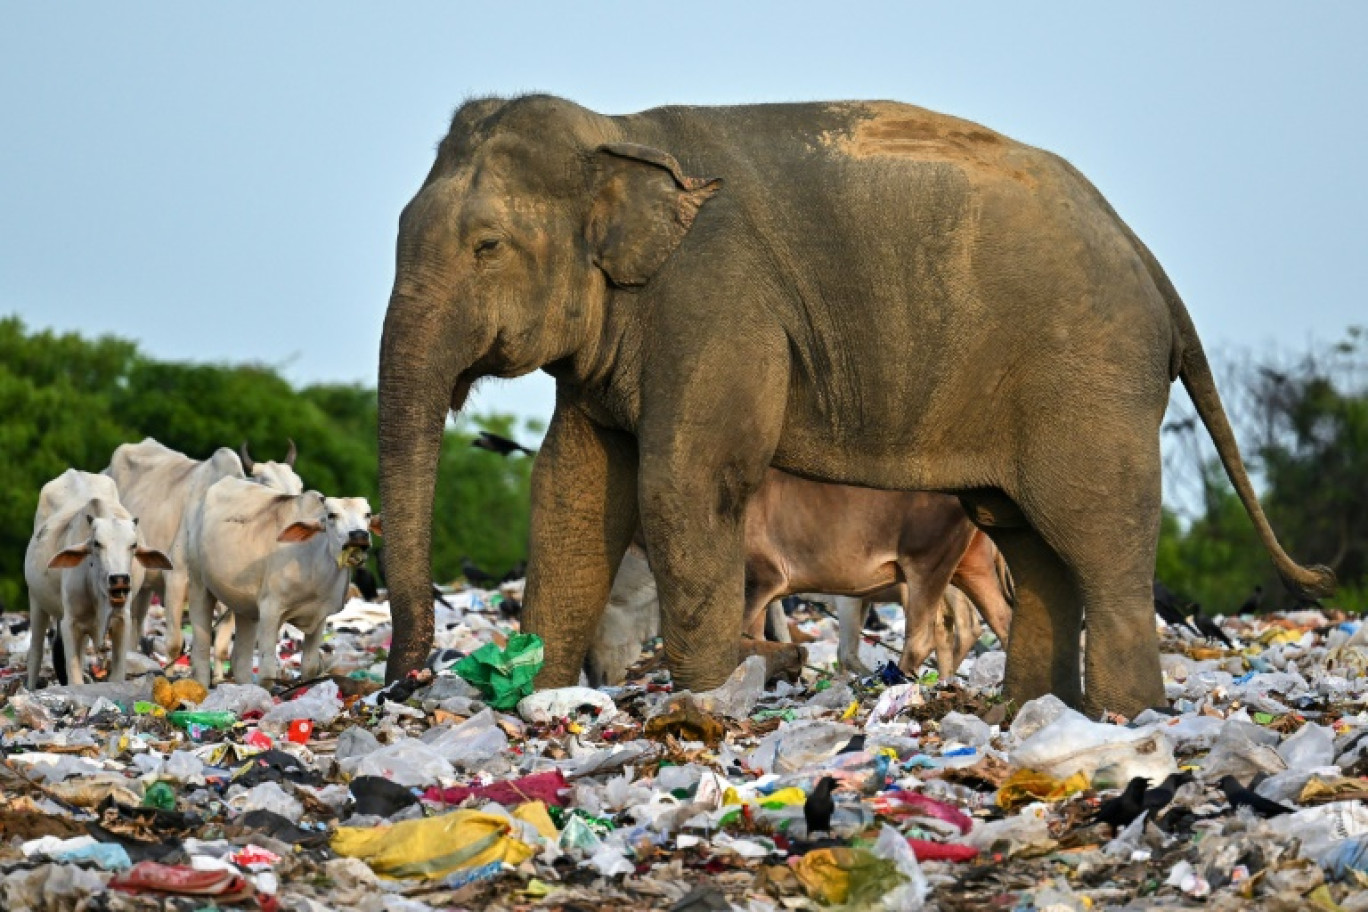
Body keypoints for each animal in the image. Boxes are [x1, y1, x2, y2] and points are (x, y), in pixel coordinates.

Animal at [24, 467, 171, 689]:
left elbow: (117, 674)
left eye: (133, 545)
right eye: (96, 543)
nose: (119, 579)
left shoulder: (122, 621)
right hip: (36, 601)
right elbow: (74, 676)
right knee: (36, 651)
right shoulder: (70, 623)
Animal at [103, 437, 302, 659]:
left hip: (146, 585)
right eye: (269, 486)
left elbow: (221, 647)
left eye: (300, 487)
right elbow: (174, 644)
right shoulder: (175, 578)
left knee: (136, 625)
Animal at [188, 478, 380, 683]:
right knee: (200, 651)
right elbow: (267, 671)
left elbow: (310, 667)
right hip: (198, 585)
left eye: (367, 514)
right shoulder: (270, 610)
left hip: (244, 607)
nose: (359, 535)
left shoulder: (320, 616)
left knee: (240, 659)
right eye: (331, 515)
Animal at [377, 94, 1335, 721]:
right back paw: (1024, 719)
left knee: (1094, 537)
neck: (620, 132)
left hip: (1091, 373)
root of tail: (1147, 257)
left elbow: (684, 483)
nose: (405, 686)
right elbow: (571, 489)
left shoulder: (718, 300)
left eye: (487, 245)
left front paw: (705, 705)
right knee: (1028, 535)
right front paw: (540, 699)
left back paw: (1122, 723)